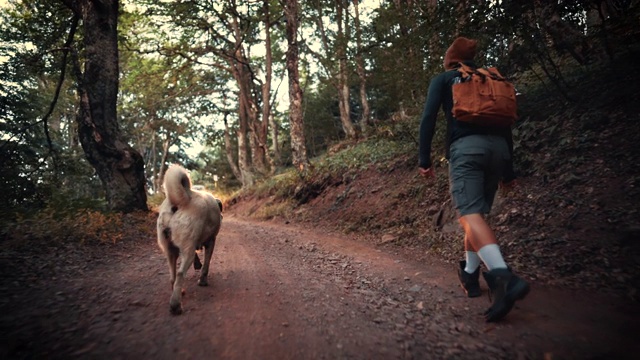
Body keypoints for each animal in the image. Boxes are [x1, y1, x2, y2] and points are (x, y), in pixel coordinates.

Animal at [157, 165, 222, 314]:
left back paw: (179, 292)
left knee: (173, 275)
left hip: (170, 250)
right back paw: (175, 305)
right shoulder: (211, 241)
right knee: (181, 274)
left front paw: (198, 265)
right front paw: (203, 281)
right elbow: (206, 265)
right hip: (188, 251)